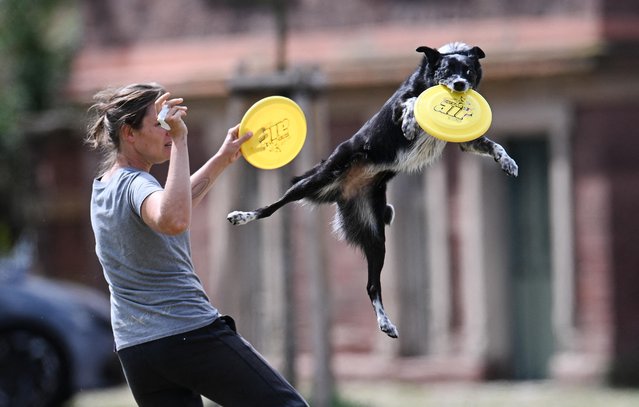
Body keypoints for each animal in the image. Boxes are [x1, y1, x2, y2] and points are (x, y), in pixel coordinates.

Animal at [228, 43, 516, 340]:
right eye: (447, 71)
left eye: (467, 71)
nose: (459, 85)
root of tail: (344, 190)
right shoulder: (399, 105)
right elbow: (411, 103)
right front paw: (410, 123)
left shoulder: (467, 142)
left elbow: (493, 146)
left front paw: (508, 162)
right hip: (317, 180)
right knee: (273, 206)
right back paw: (242, 215)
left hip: (377, 237)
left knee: (372, 286)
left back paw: (385, 323)